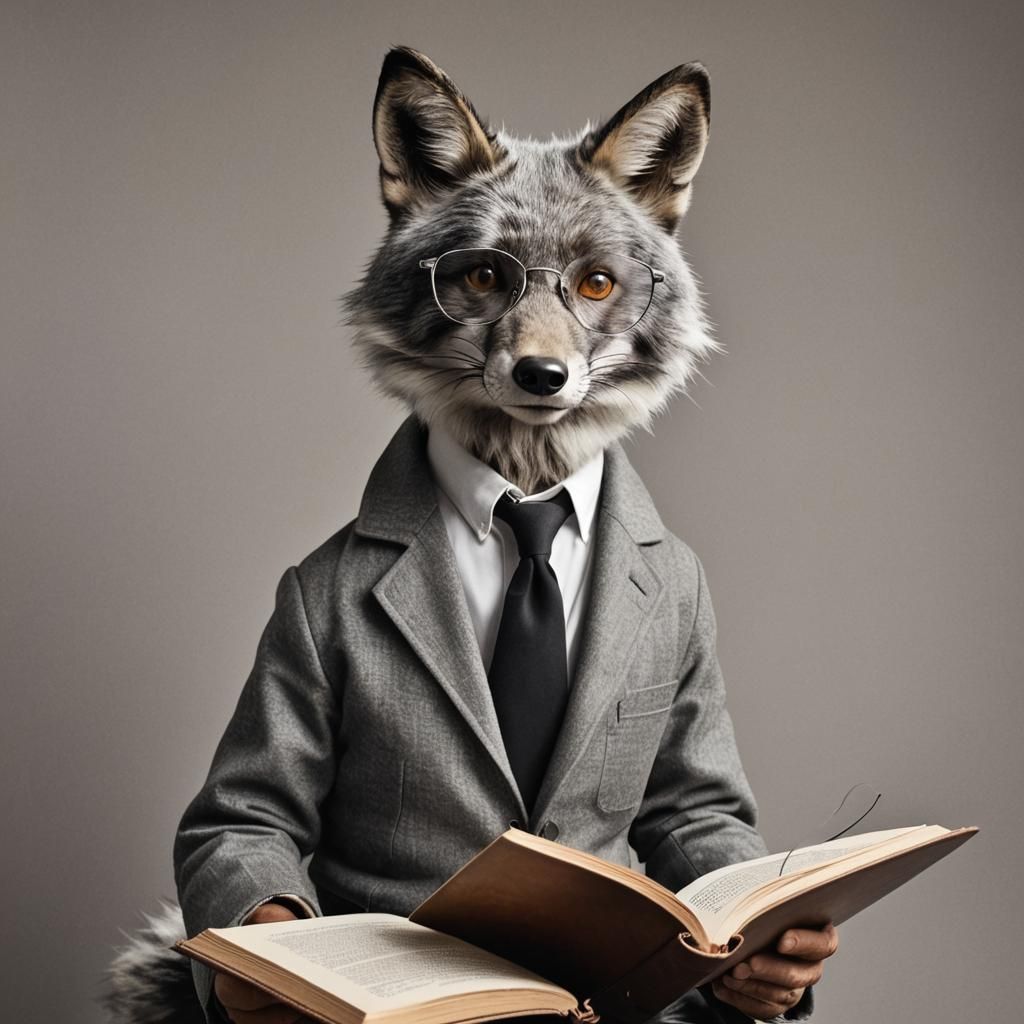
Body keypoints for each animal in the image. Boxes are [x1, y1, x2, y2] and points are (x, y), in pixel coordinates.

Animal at [102, 46, 834, 1024]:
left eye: (595, 284)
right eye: (485, 277)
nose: (541, 374)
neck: (527, 497)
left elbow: (700, 804)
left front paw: (770, 959)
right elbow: (243, 812)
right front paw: (263, 974)